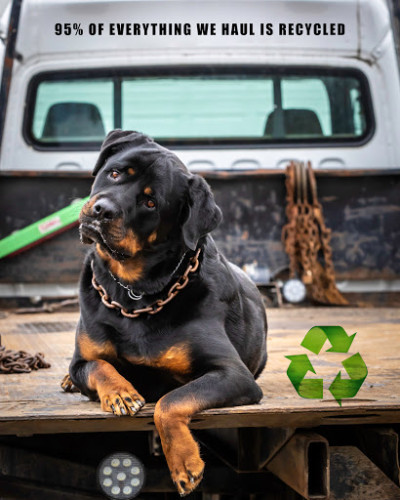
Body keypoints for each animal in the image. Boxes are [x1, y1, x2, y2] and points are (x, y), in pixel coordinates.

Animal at [64, 131, 268, 498]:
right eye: (115, 173)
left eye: (150, 203)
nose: (102, 210)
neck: (133, 293)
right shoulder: (81, 361)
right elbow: (98, 365)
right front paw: (120, 393)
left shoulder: (234, 374)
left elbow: (171, 400)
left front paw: (184, 462)